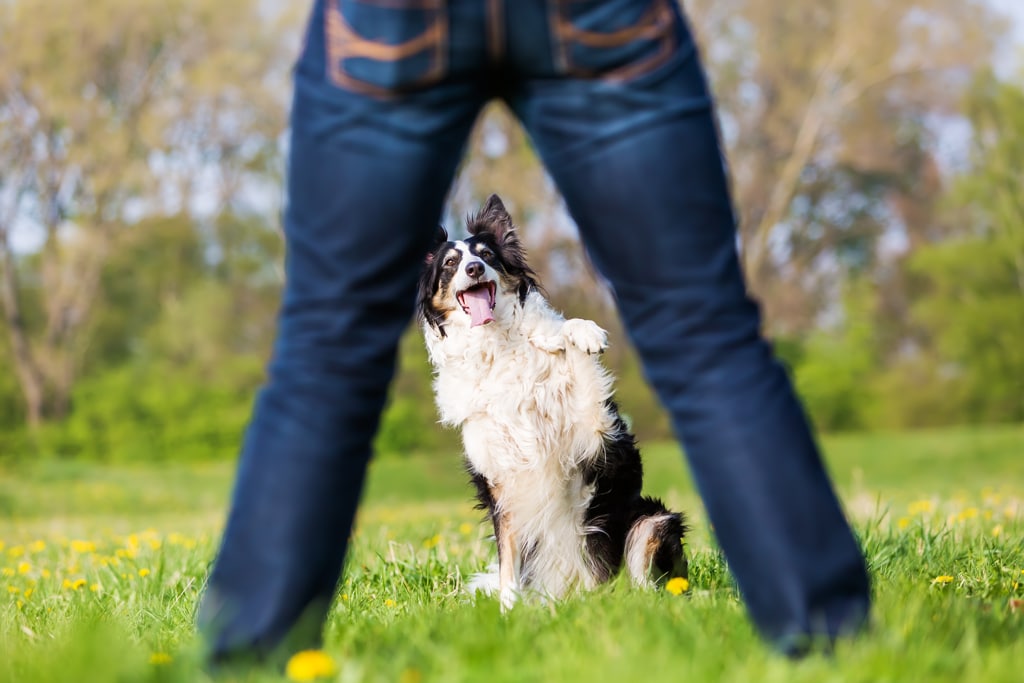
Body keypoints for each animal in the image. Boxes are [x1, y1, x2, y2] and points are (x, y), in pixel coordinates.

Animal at [415, 194, 688, 606]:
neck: (496, 346)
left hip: (653, 520)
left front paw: (575, 333)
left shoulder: (595, 434)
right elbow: (508, 564)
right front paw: (508, 612)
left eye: (487, 255)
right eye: (450, 263)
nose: (475, 269)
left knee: (644, 581)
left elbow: (571, 348)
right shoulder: (501, 484)